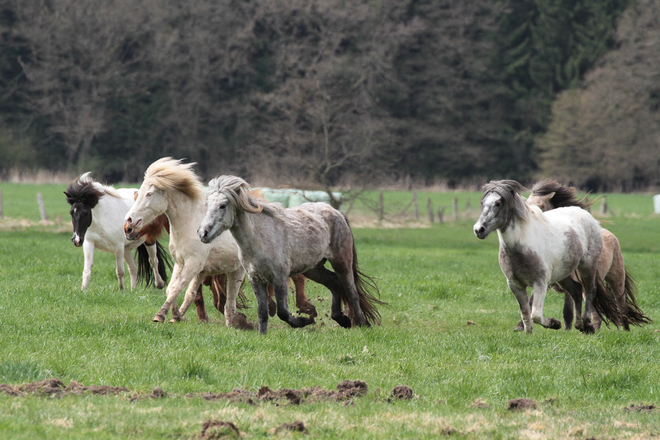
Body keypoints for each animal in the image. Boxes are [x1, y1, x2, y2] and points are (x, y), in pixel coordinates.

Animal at [124, 158, 248, 326]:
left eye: (149, 194)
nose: (128, 224)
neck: (189, 225)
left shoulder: (193, 264)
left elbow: (176, 288)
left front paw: (160, 315)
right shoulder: (181, 263)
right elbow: (173, 289)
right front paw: (176, 316)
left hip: (238, 271)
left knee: (232, 299)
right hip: (224, 271)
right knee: (223, 300)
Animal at [196, 174, 384, 336]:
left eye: (223, 205)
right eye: (206, 204)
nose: (203, 233)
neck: (260, 238)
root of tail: (336, 212)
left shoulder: (279, 277)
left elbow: (283, 312)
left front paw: (304, 321)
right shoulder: (255, 278)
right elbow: (262, 311)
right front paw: (262, 335)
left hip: (342, 262)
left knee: (351, 292)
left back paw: (363, 324)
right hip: (313, 269)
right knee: (334, 282)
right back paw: (342, 319)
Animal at [472, 179, 620, 334]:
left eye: (498, 203)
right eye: (482, 203)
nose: (478, 229)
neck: (522, 246)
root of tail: (589, 217)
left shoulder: (540, 283)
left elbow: (536, 315)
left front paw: (555, 324)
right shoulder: (515, 285)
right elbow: (525, 313)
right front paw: (528, 333)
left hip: (588, 266)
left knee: (590, 290)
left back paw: (587, 325)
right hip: (564, 274)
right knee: (576, 290)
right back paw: (579, 325)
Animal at [524, 178, 652, 330]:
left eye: (540, 205)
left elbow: (569, 309)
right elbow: (532, 302)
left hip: (615, 277)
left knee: (620, 303)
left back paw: (622, 330)